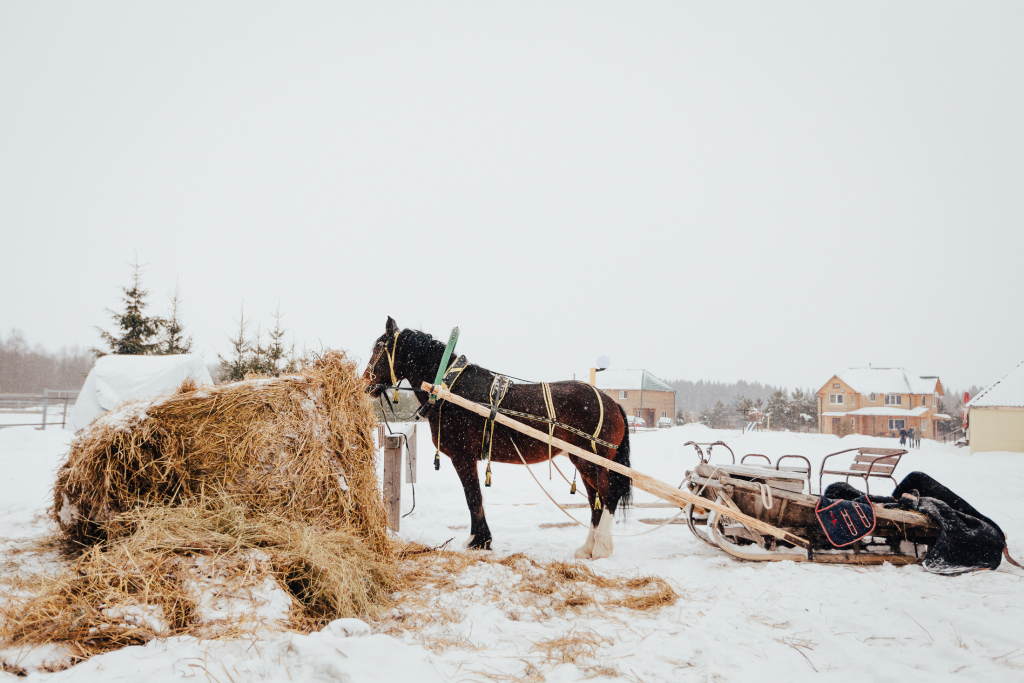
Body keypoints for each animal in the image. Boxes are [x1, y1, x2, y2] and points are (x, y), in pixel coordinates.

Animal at [360, 317, 630, 557]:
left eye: (377, 349)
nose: (364, 385)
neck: (450, 389)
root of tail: (612, 402)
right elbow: (475, 496)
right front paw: (482, 539)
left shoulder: (462, 456)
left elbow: (473, 496)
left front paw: (478, 540)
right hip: (583, 461)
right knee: (595, 500)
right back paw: (587, 548)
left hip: (591, 461)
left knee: (609, 496)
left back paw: (601, 548)